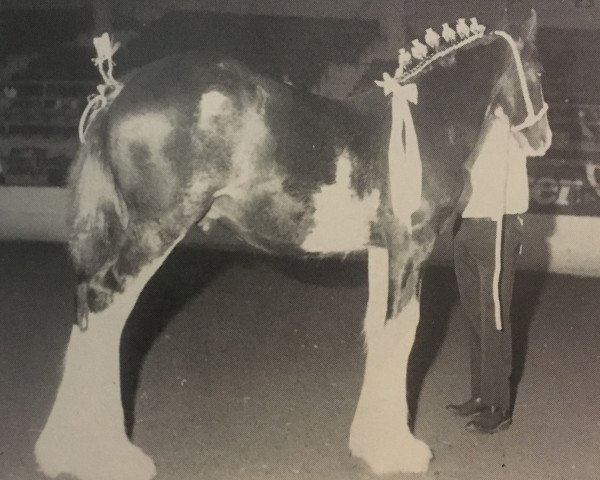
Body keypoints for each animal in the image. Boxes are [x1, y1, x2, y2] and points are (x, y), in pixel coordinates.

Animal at [32, 9, 548, 478]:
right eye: (539, 73)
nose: (542, 140)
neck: (426, 119)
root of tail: (118, 94)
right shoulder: (411, 247)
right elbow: (403, 334)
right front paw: (396, 451)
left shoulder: (382, 250)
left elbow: (377, 332)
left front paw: (368, 442)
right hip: (155, 232)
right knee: (104, 312)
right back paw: (104, 455)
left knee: (89, 309)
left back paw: (67, 451)